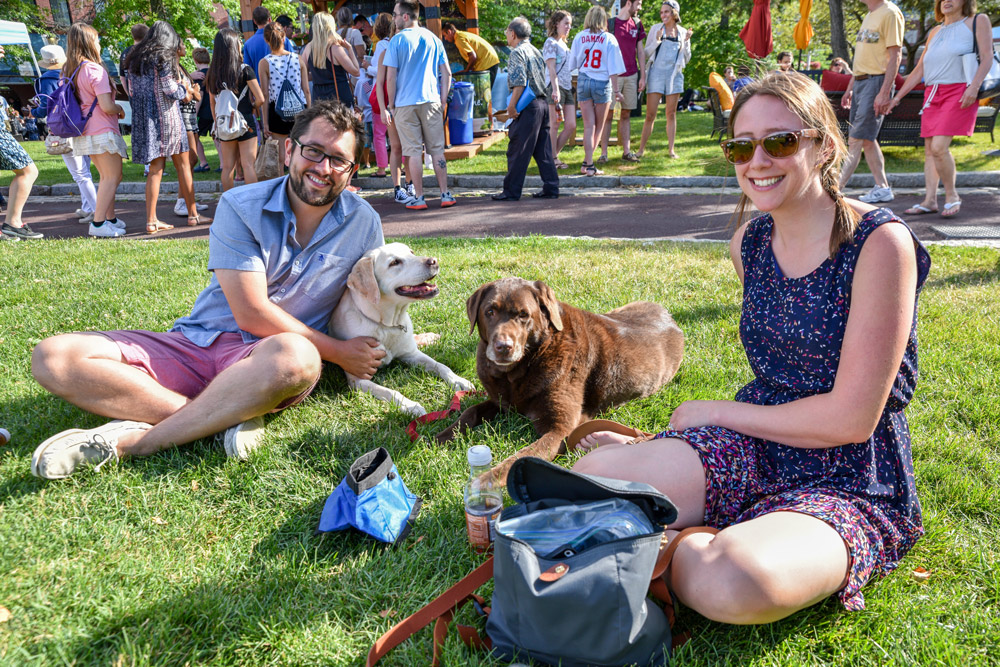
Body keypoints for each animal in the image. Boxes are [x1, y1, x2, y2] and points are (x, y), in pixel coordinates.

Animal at [324, 243, 472, 414]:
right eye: (394, 262)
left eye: (412, 252)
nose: (433, 261)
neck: (388, 325)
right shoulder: (358, 378)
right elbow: (390, 391)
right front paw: (410, 405)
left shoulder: (411, 354)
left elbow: (441, 365)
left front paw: (458, 380)